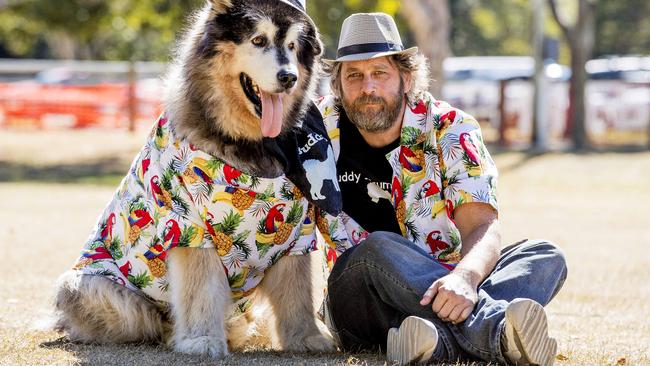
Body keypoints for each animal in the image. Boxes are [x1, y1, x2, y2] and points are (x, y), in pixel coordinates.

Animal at [53, 0, 334, 358]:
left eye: (294, 47)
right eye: (258, 40)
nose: (288, 77)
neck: (248, 143)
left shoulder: (297, 231)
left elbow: (297, 293)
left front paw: (306, 337)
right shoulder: (189, 228)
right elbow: (201, 290)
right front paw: (201, 340)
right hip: (94, 288)